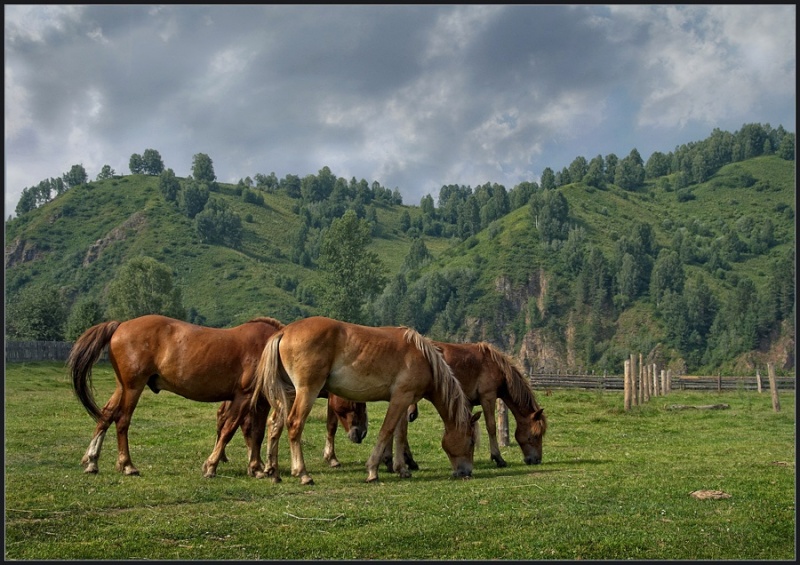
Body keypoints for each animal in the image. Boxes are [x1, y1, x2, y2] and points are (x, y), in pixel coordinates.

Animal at [68, 312, 288, 476]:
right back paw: (127, 465)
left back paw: (92, 461)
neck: (268, 346)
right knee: (122, 420)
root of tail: (120, 325)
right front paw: (211, 465)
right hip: (133, 387)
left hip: (122, 387)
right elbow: (229, 429)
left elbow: (256, 433)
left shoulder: (260, 401)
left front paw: (256, 468)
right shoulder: (243, 397)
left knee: (106, 416)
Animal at [250, 316, 482, 482]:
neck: (423, 357)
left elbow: (399, 435)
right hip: (307, 392)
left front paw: (402, 469)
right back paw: (303, 474)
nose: (466, 472)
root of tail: (284, 331)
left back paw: (273, 472)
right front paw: (373, 470)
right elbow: (386, 431)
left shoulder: (404, 400)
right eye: (471, 441)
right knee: (294, 424)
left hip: (288, 394)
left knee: (275, 424)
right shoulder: (400, 398)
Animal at [384, 342, 548, 470]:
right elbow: (491, 426)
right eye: (535, 435)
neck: (495, 365)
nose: (536, 460)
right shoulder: (488, 396)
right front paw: (498, 458)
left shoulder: (468, 403)